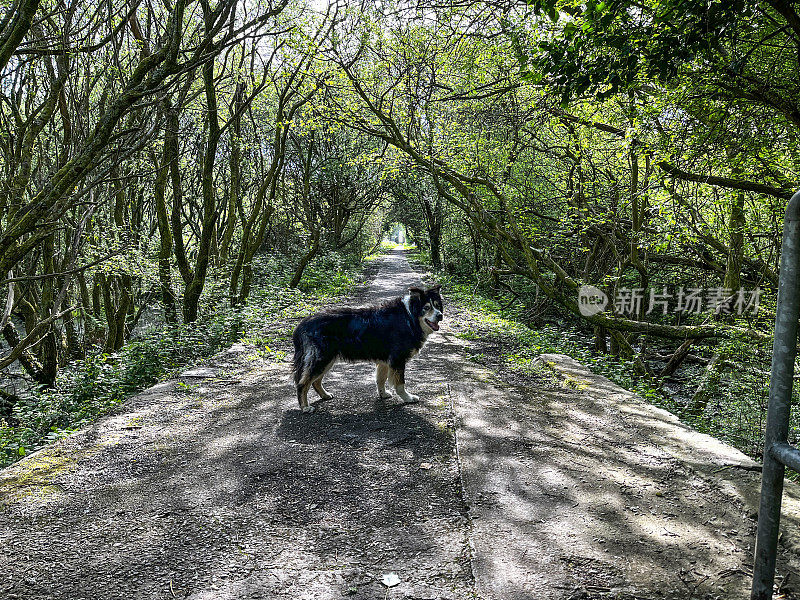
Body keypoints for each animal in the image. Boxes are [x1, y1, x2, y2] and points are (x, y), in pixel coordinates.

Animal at [292, 286, 444, 412]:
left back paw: (325, 395)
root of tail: (303, 324)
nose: (440, 315)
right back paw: (305, 407)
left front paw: (383, 394)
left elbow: (380, 380)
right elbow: (400, 384)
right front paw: (408, 398)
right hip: (322, 358)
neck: (409, 317)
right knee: (302, 383)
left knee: (315, 381)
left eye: (437, 306)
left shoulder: (385, 361)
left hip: (327, 360)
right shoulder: (397, 359)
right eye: (426, 307)